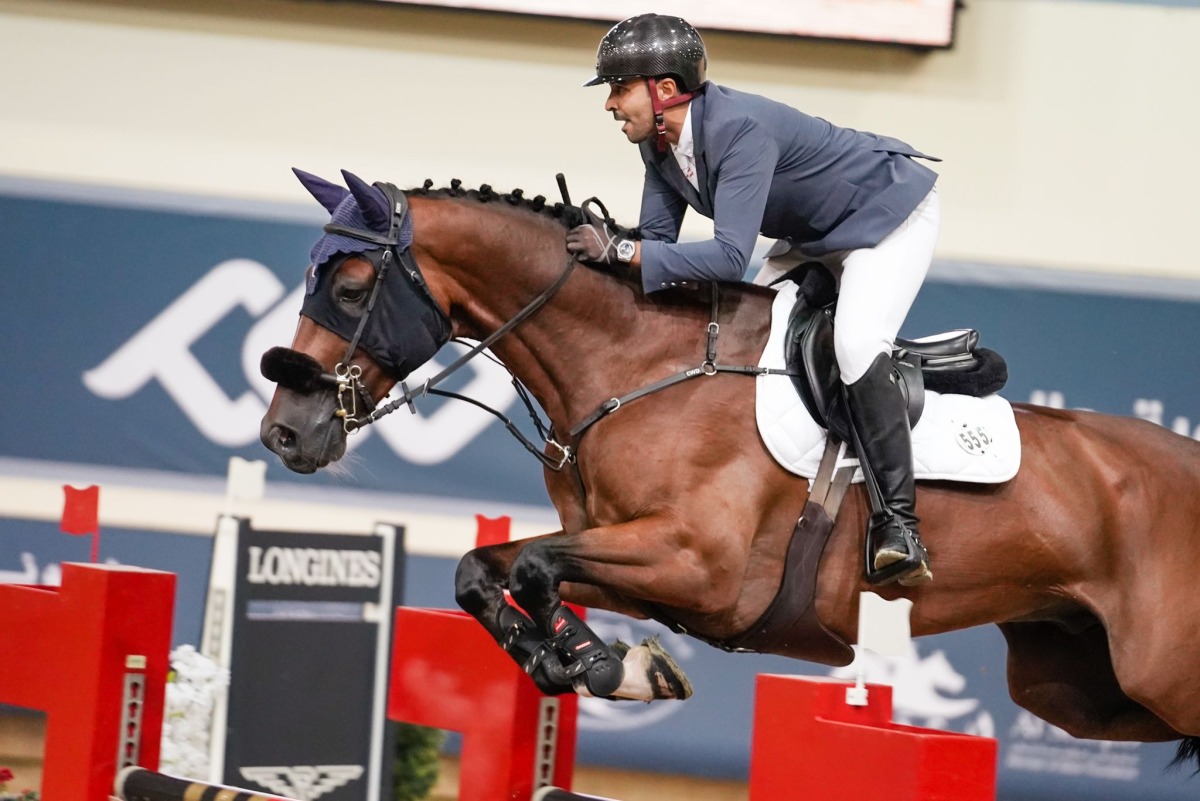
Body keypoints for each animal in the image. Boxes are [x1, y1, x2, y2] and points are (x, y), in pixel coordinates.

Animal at [260, 170, 1200, 767]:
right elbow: (488, 570)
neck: (637, 365)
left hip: (1159, 674)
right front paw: (593, 665)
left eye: (349, 287)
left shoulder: (695, 565)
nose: (283, 434)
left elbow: (529, 566)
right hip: (1079, 687)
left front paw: (602, 666)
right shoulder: (630, 554)